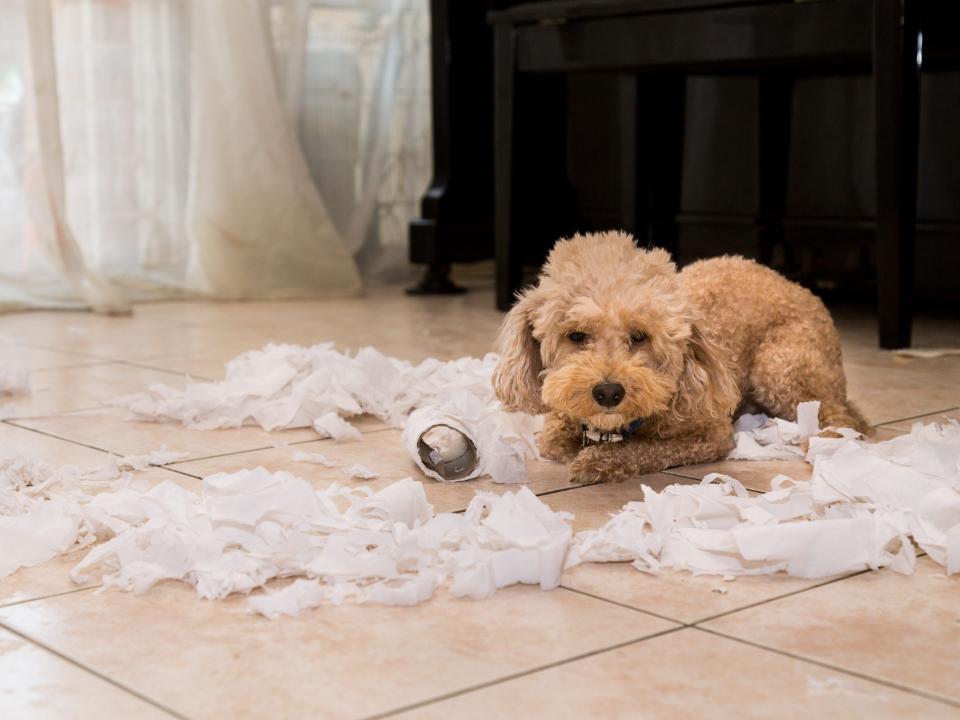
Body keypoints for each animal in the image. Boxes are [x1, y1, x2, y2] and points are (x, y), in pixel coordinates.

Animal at [492, 231, 868, 484]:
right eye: (576, 336)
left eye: (639, 336)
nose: (609, 392)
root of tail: (803, 290)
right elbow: (554, 440)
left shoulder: (711, 434)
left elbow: (647, 448)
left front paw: (600, 460)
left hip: (779, 365)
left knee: (842, 416)